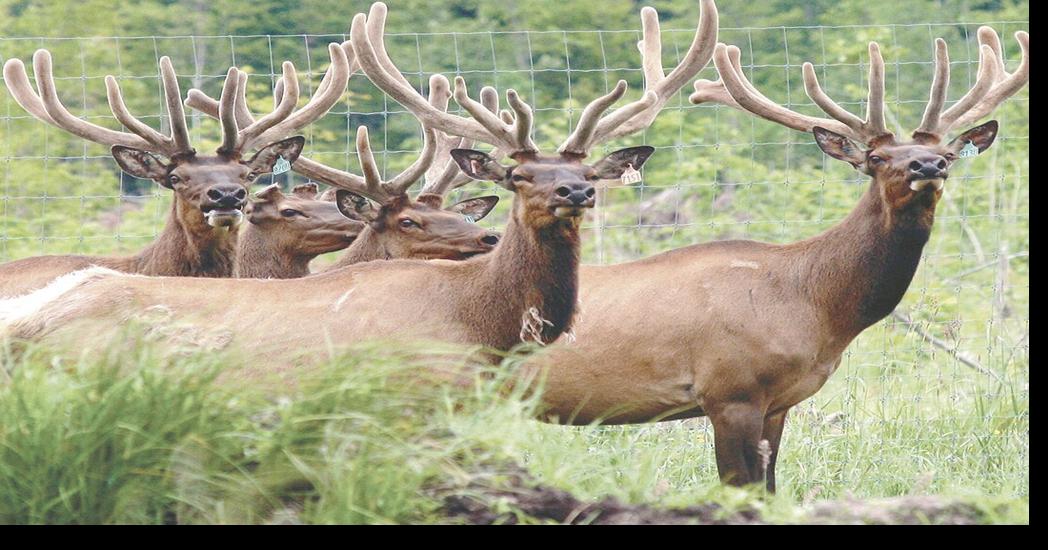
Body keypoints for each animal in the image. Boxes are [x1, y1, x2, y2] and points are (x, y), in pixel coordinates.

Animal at [524, 26, 1028, 491]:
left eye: (947, 154)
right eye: (877, 157)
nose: (928, 166)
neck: (816, 309)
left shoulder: (778, 404)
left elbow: (768, 488)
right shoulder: (731, 390)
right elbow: (739, 488)